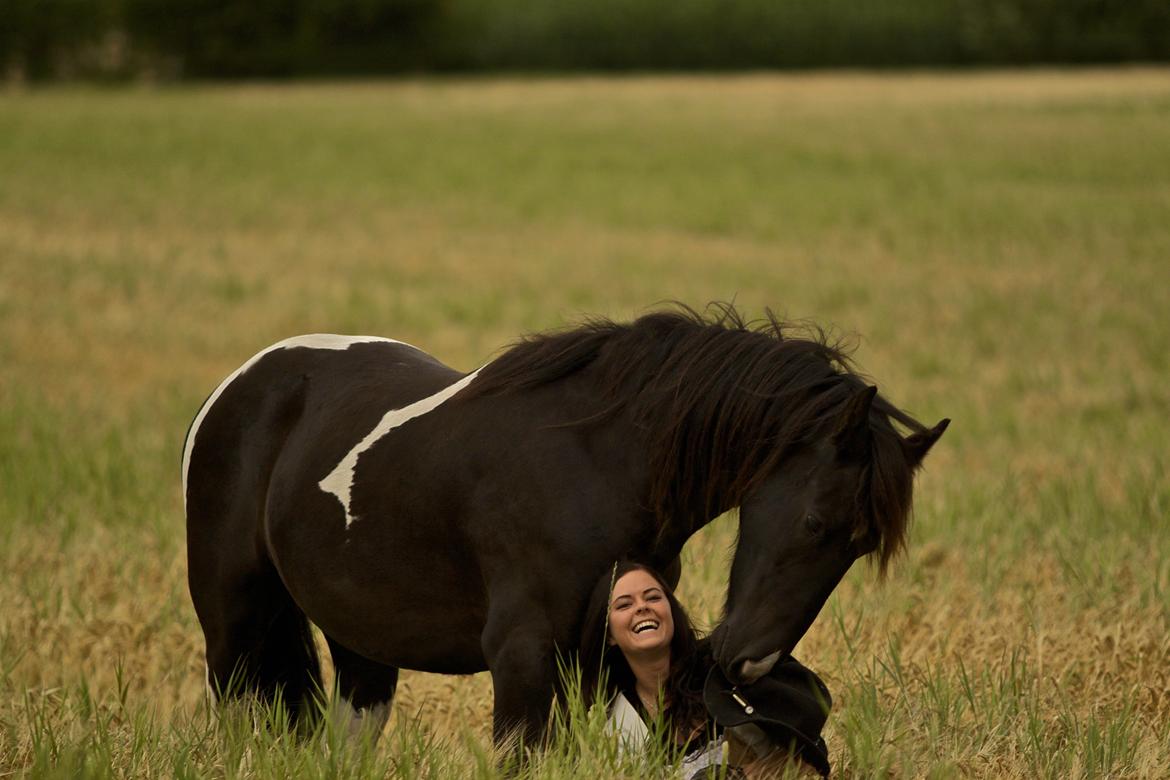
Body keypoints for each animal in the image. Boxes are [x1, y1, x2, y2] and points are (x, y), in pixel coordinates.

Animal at [182, 304, 950, 743]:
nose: (748, 664)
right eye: (816, 522)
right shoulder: (521, 659)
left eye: (859, 548)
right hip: (232, 629)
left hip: (360, 645)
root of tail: (244, 384)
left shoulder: (603, 663)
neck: (596, 465)